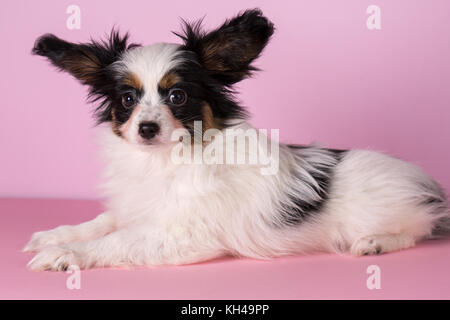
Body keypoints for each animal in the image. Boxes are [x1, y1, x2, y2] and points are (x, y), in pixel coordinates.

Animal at [25, 9, 450, 270]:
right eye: (127, 100)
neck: (165, 161)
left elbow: (117, 241)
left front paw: (64, 254)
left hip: (387, 214)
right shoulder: (140, 207)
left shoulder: (182, 234)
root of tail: (428, 186)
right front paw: (55, 235)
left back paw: (374, 242)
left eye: (177, 96)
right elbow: (103, 222)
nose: (146, 128)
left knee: (416, 231)